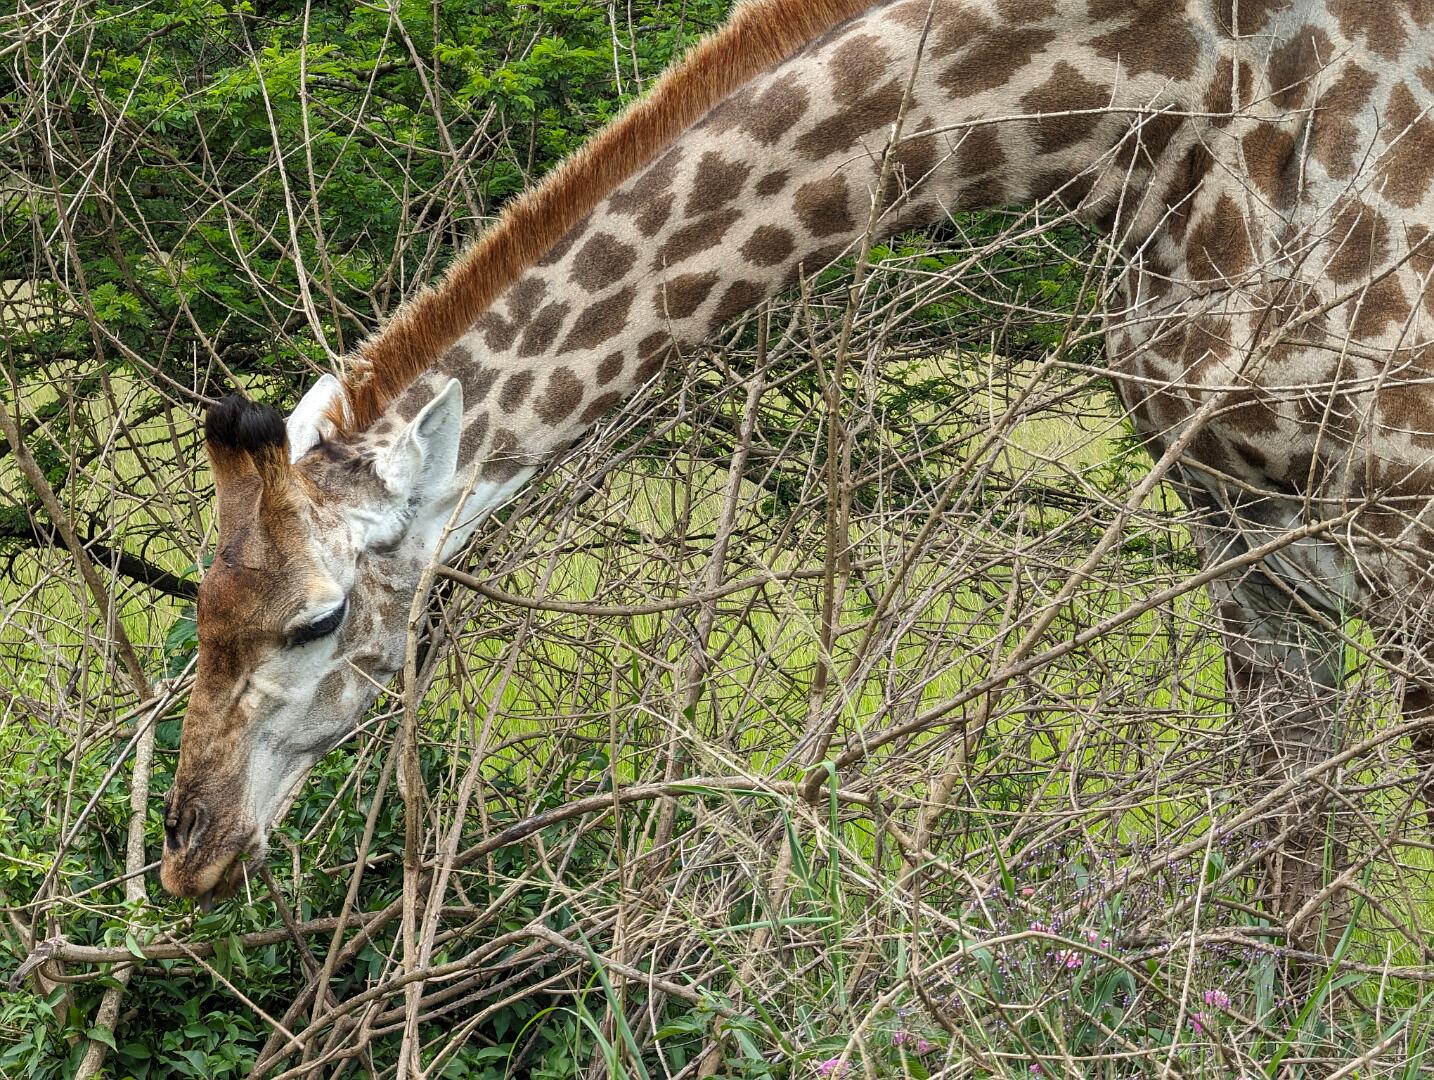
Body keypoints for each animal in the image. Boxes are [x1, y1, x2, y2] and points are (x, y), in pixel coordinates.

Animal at [158, 0, 1434, 932]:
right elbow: (1285, 883)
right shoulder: (1240, 539)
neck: (1178, 112)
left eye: (317, 620)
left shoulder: (1408, 542)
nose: (189, 848)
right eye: (204, 606)